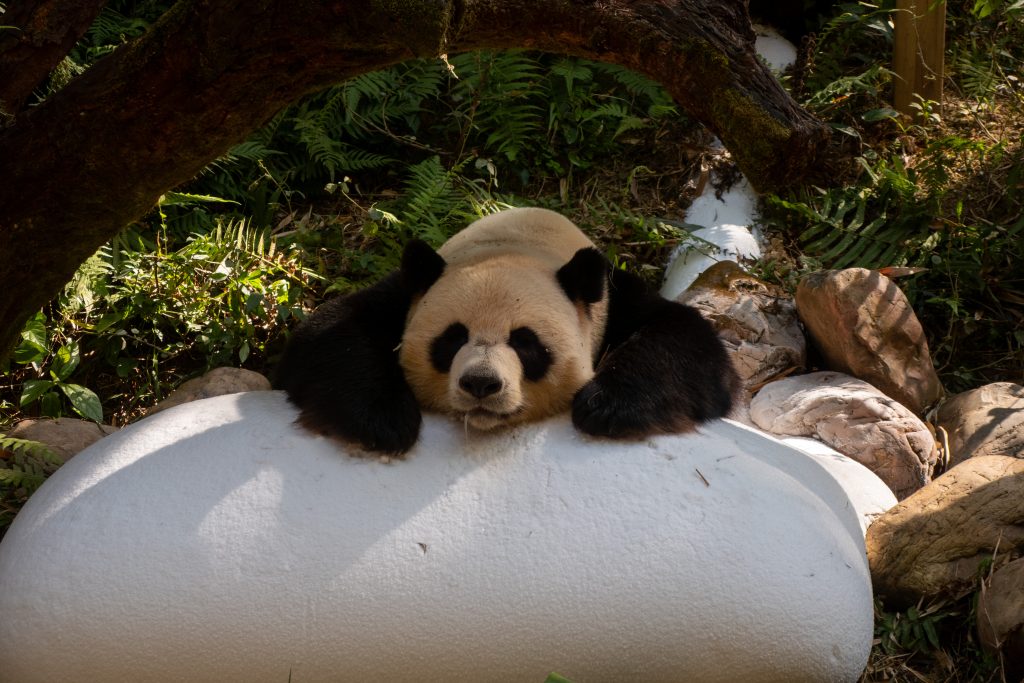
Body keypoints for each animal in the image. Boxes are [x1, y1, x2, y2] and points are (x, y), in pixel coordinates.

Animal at [273, 207, 739, 454]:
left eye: (526, 343)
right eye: (452, 338)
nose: (481, 383)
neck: (516, 243)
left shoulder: (613, 302)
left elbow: (695, 349)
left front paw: (607, 405)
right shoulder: (406, 294)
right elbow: (327, 333)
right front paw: (385, 419)